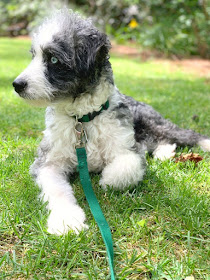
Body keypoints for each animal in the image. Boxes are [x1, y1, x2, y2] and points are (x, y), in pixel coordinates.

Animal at [12, 9, 209, 235]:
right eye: (33, 55)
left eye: (53, 59)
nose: (17, 84)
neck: (84, 119)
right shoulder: (47, 161)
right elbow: (57, 189)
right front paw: (66, 220)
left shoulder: (128, 146)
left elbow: (128, 166)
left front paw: (107, 180)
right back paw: (164, 153)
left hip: (153, 122)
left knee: (185, 135)